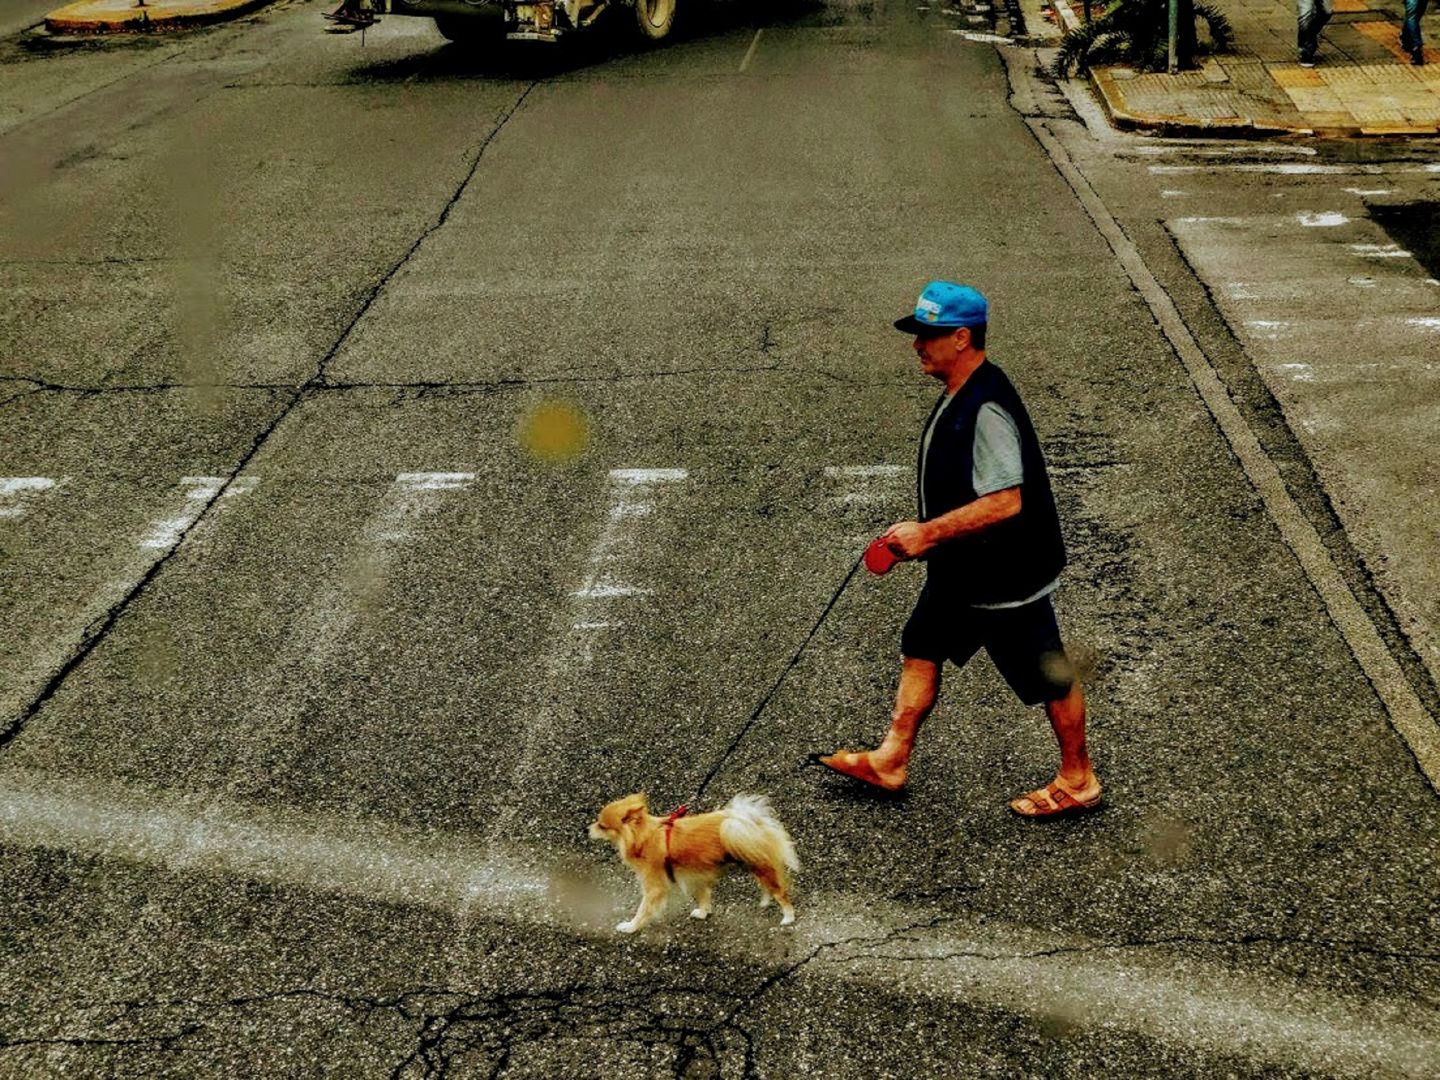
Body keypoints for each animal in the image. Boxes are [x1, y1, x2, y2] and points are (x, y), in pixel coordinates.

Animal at [584, 789, 800, 933]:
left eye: (601, 826)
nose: (587, 829)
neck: (644, 837)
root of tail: (750, 821)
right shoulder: (696, 875)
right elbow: (703, 896)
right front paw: (703, 913)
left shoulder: (655, 886)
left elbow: (643, 908)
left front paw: (631, 926)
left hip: (760, 866)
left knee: (781, 892)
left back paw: (788, 917)